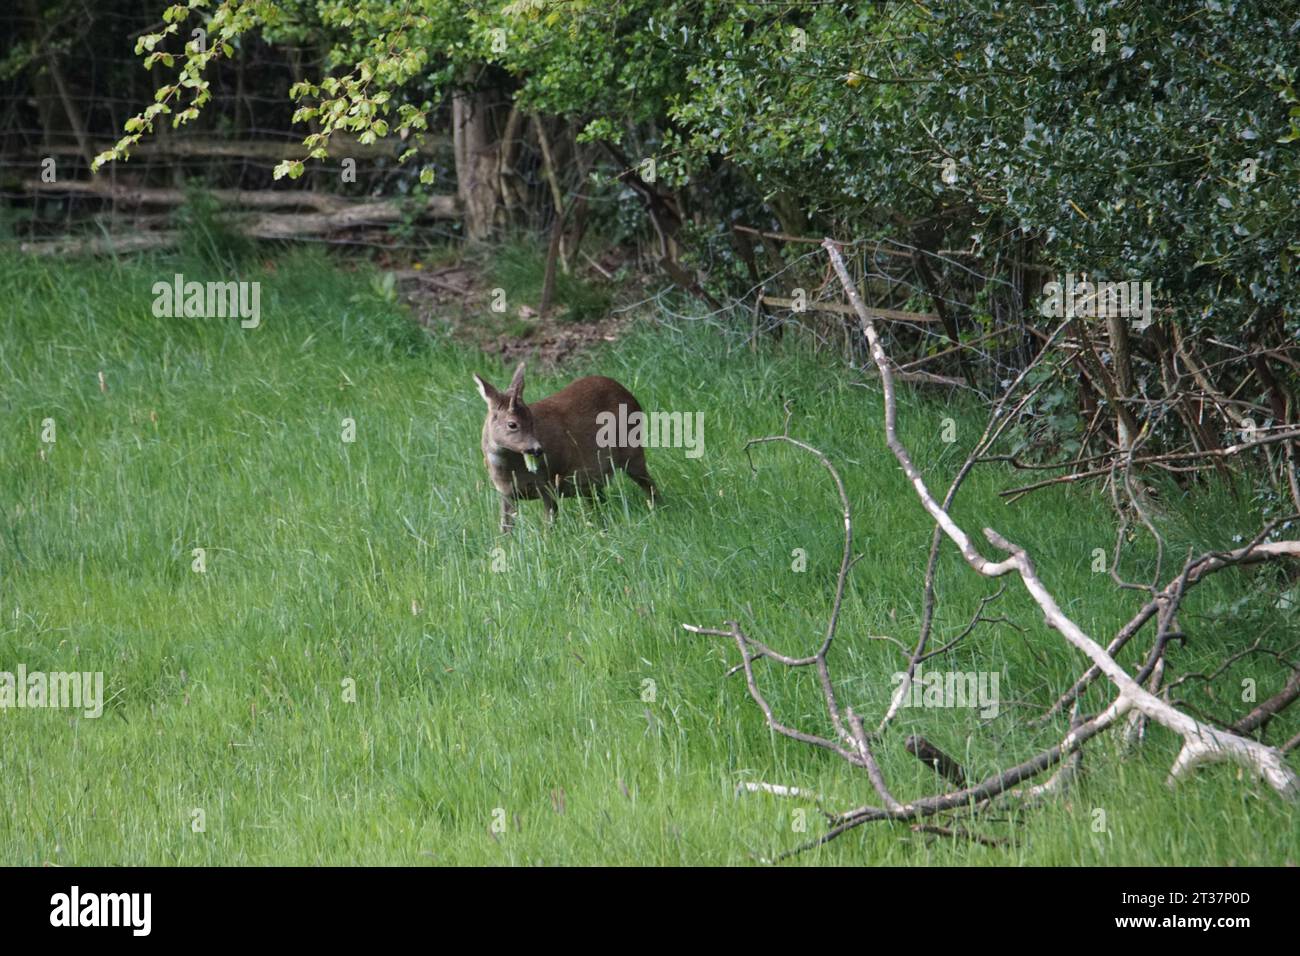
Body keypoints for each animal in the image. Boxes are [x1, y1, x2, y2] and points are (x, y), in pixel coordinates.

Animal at [473, 361, 658, 533]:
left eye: (532, 421)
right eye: (512, 424)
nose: (537, 449)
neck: (510, 471)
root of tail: (629, 394)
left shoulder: (548, 482)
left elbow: (549, 524)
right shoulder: (506, 494)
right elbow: (505, 529)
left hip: (632, 450)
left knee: (648, 484)